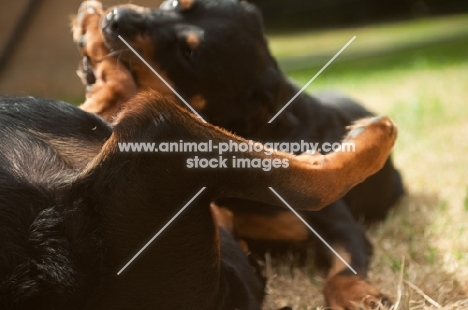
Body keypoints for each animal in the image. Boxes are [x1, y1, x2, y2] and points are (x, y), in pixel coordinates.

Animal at [72, 0, 402, 308]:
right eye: (174, 4)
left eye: (188, 53)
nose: (115, 18)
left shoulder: (341, 228)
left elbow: (343, 269)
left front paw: (356, 295)